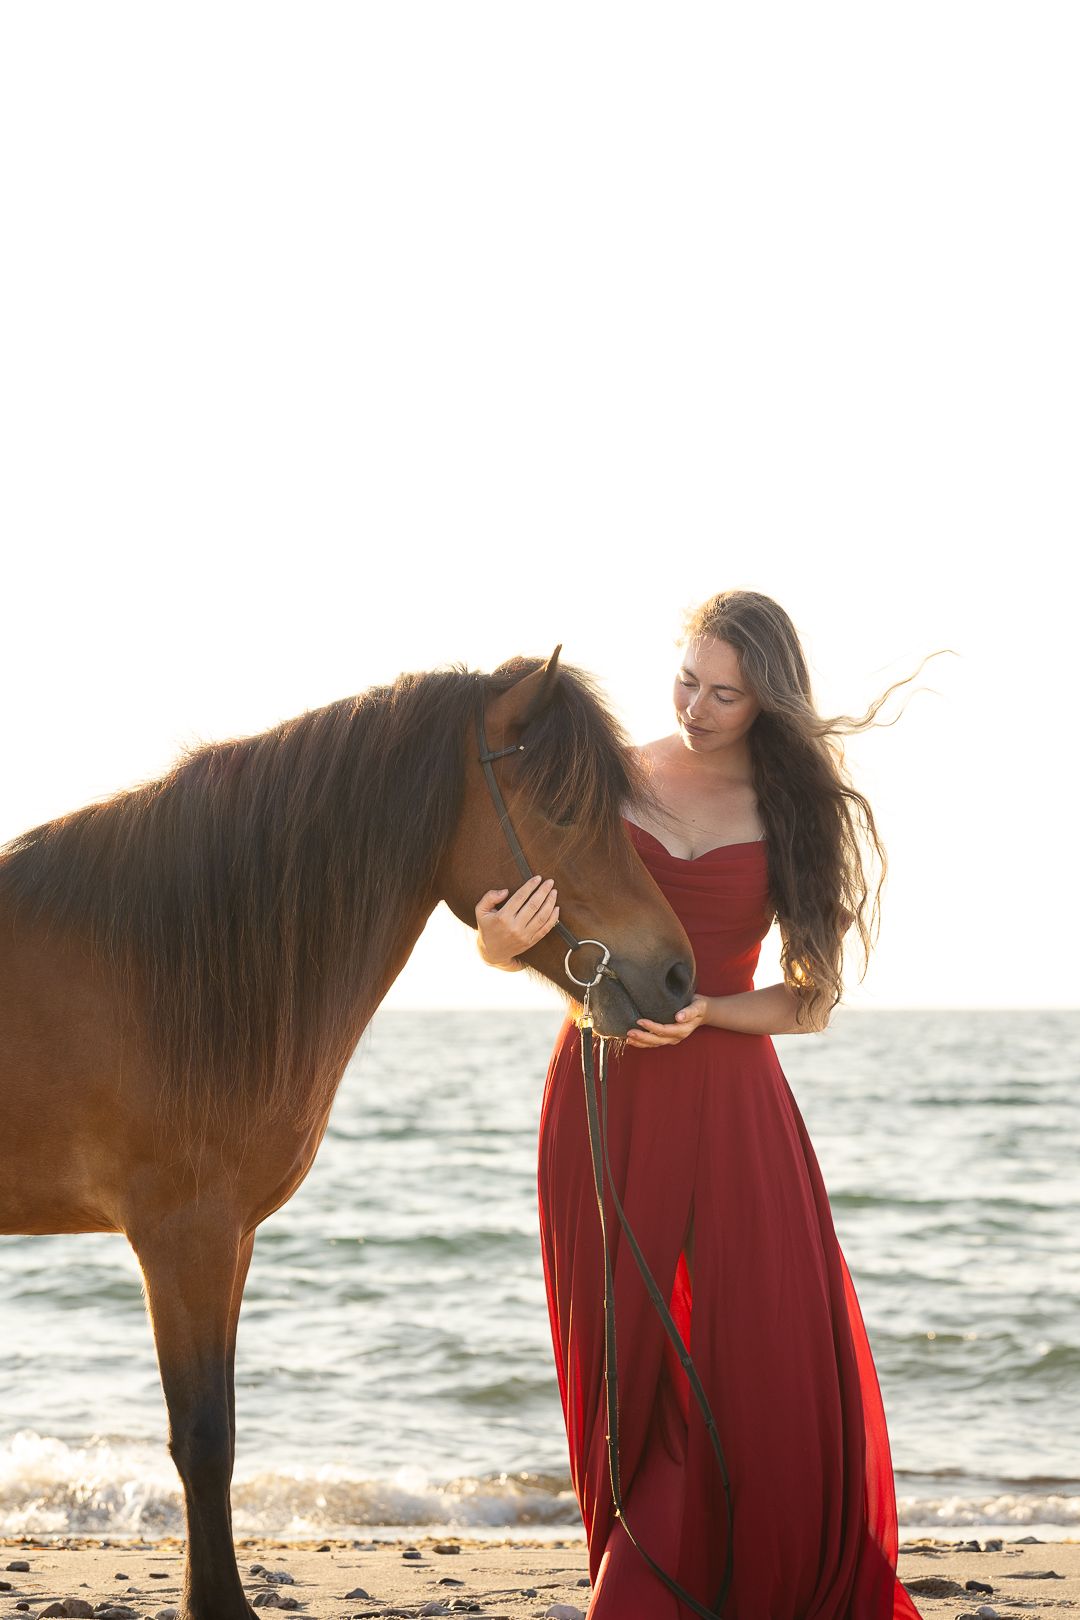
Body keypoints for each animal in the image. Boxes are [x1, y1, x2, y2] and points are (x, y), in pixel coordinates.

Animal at [0, 648, 694, 1620]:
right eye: (563, 808)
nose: (676, 974)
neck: (152, 972)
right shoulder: (184, 1237)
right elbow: (201, 1438)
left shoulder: (230, 1241)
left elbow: (221, 1426)